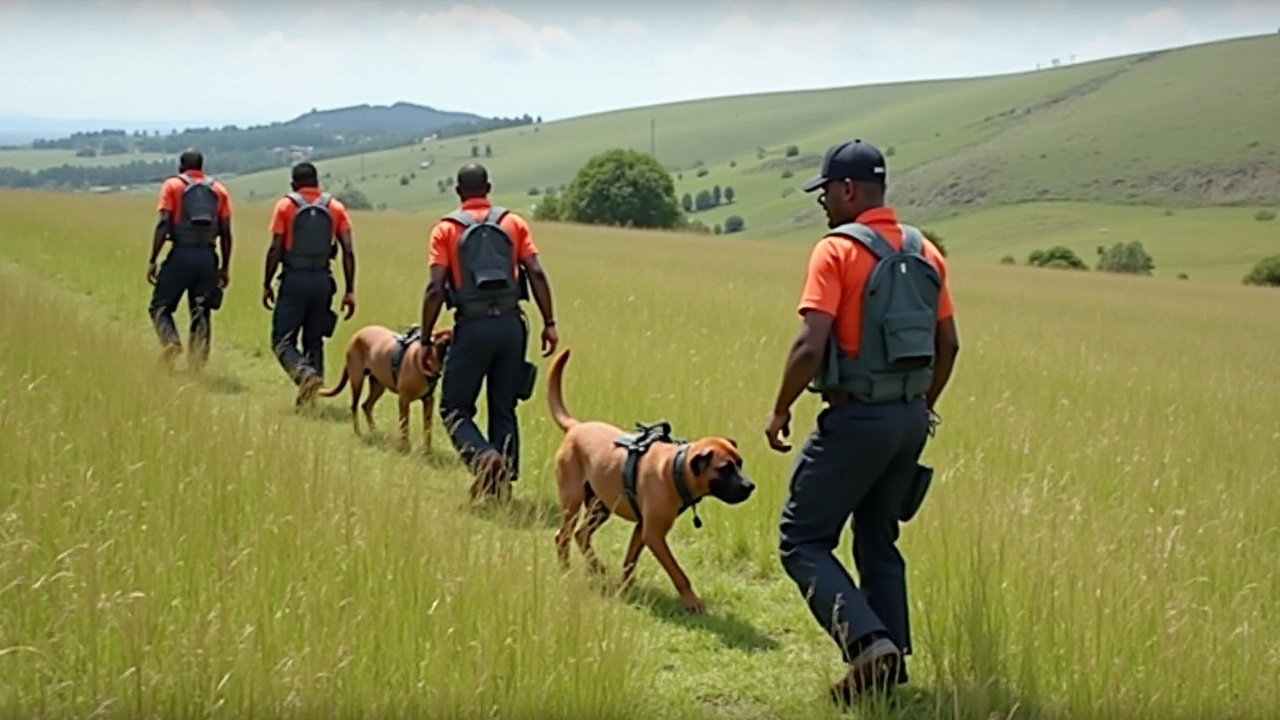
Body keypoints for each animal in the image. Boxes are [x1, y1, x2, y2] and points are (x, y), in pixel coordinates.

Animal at [320, 324, 455, 450]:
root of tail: (358, 333)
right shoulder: (403, 400)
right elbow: (404, 424)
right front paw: (405, 446)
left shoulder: (428, 400)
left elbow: (428, 428)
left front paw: (427, 450)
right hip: (357, 381)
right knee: (354, 406)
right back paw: (358, 432)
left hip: (378, 385)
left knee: (366, 405)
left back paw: (375, 430)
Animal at [545, 345, 752, 609]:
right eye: (724, 468)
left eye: (740, 463)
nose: (750, 486)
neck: (675, 469)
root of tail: (576, 427)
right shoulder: (654, 535)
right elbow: (678, 572)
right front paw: (691, 600)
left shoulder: (641, 529)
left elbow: (629, 562)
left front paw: (625, 588)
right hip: (572, 500)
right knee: (562, 536)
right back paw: (566, 570)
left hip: (601, 505)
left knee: (581, 534)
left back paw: (597, 568)